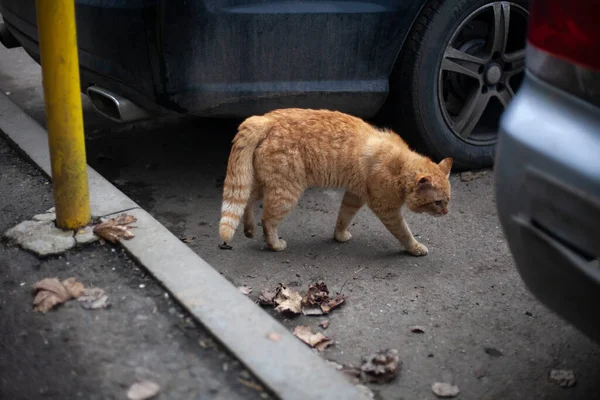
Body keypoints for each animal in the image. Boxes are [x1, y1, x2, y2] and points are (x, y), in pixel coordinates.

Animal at [218, 108, 452, 255]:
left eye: (448, 201)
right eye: (437, 202)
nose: (446, 213)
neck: (400, 166)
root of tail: (264, 119)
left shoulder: (354, 196)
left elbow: (343, 217)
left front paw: (339, 235)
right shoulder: (387, 209)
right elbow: (404, 232)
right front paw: (415, 247)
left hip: (264, 183)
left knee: (246, 200)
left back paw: (249, 229)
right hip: (285, 192)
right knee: (267, 220)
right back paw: (275, 244)